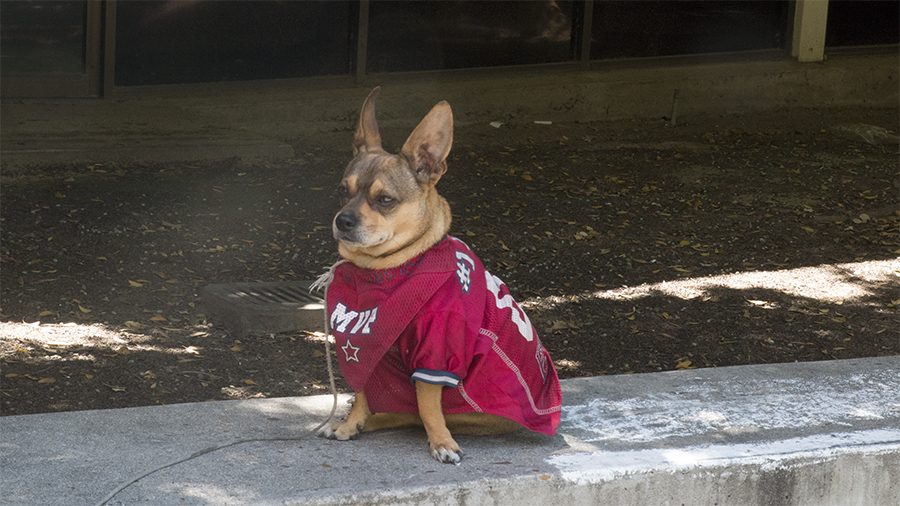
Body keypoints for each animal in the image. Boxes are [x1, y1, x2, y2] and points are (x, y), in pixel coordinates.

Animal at [318, 87, 564, 462]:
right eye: (343, 190)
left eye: (385, 200)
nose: (342, 219)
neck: (387, 270)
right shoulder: (367, 351)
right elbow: (363, 392)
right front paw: (351, 423)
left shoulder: (437, 353)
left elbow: (428, 404)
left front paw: (441, 442)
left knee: (420, 413)